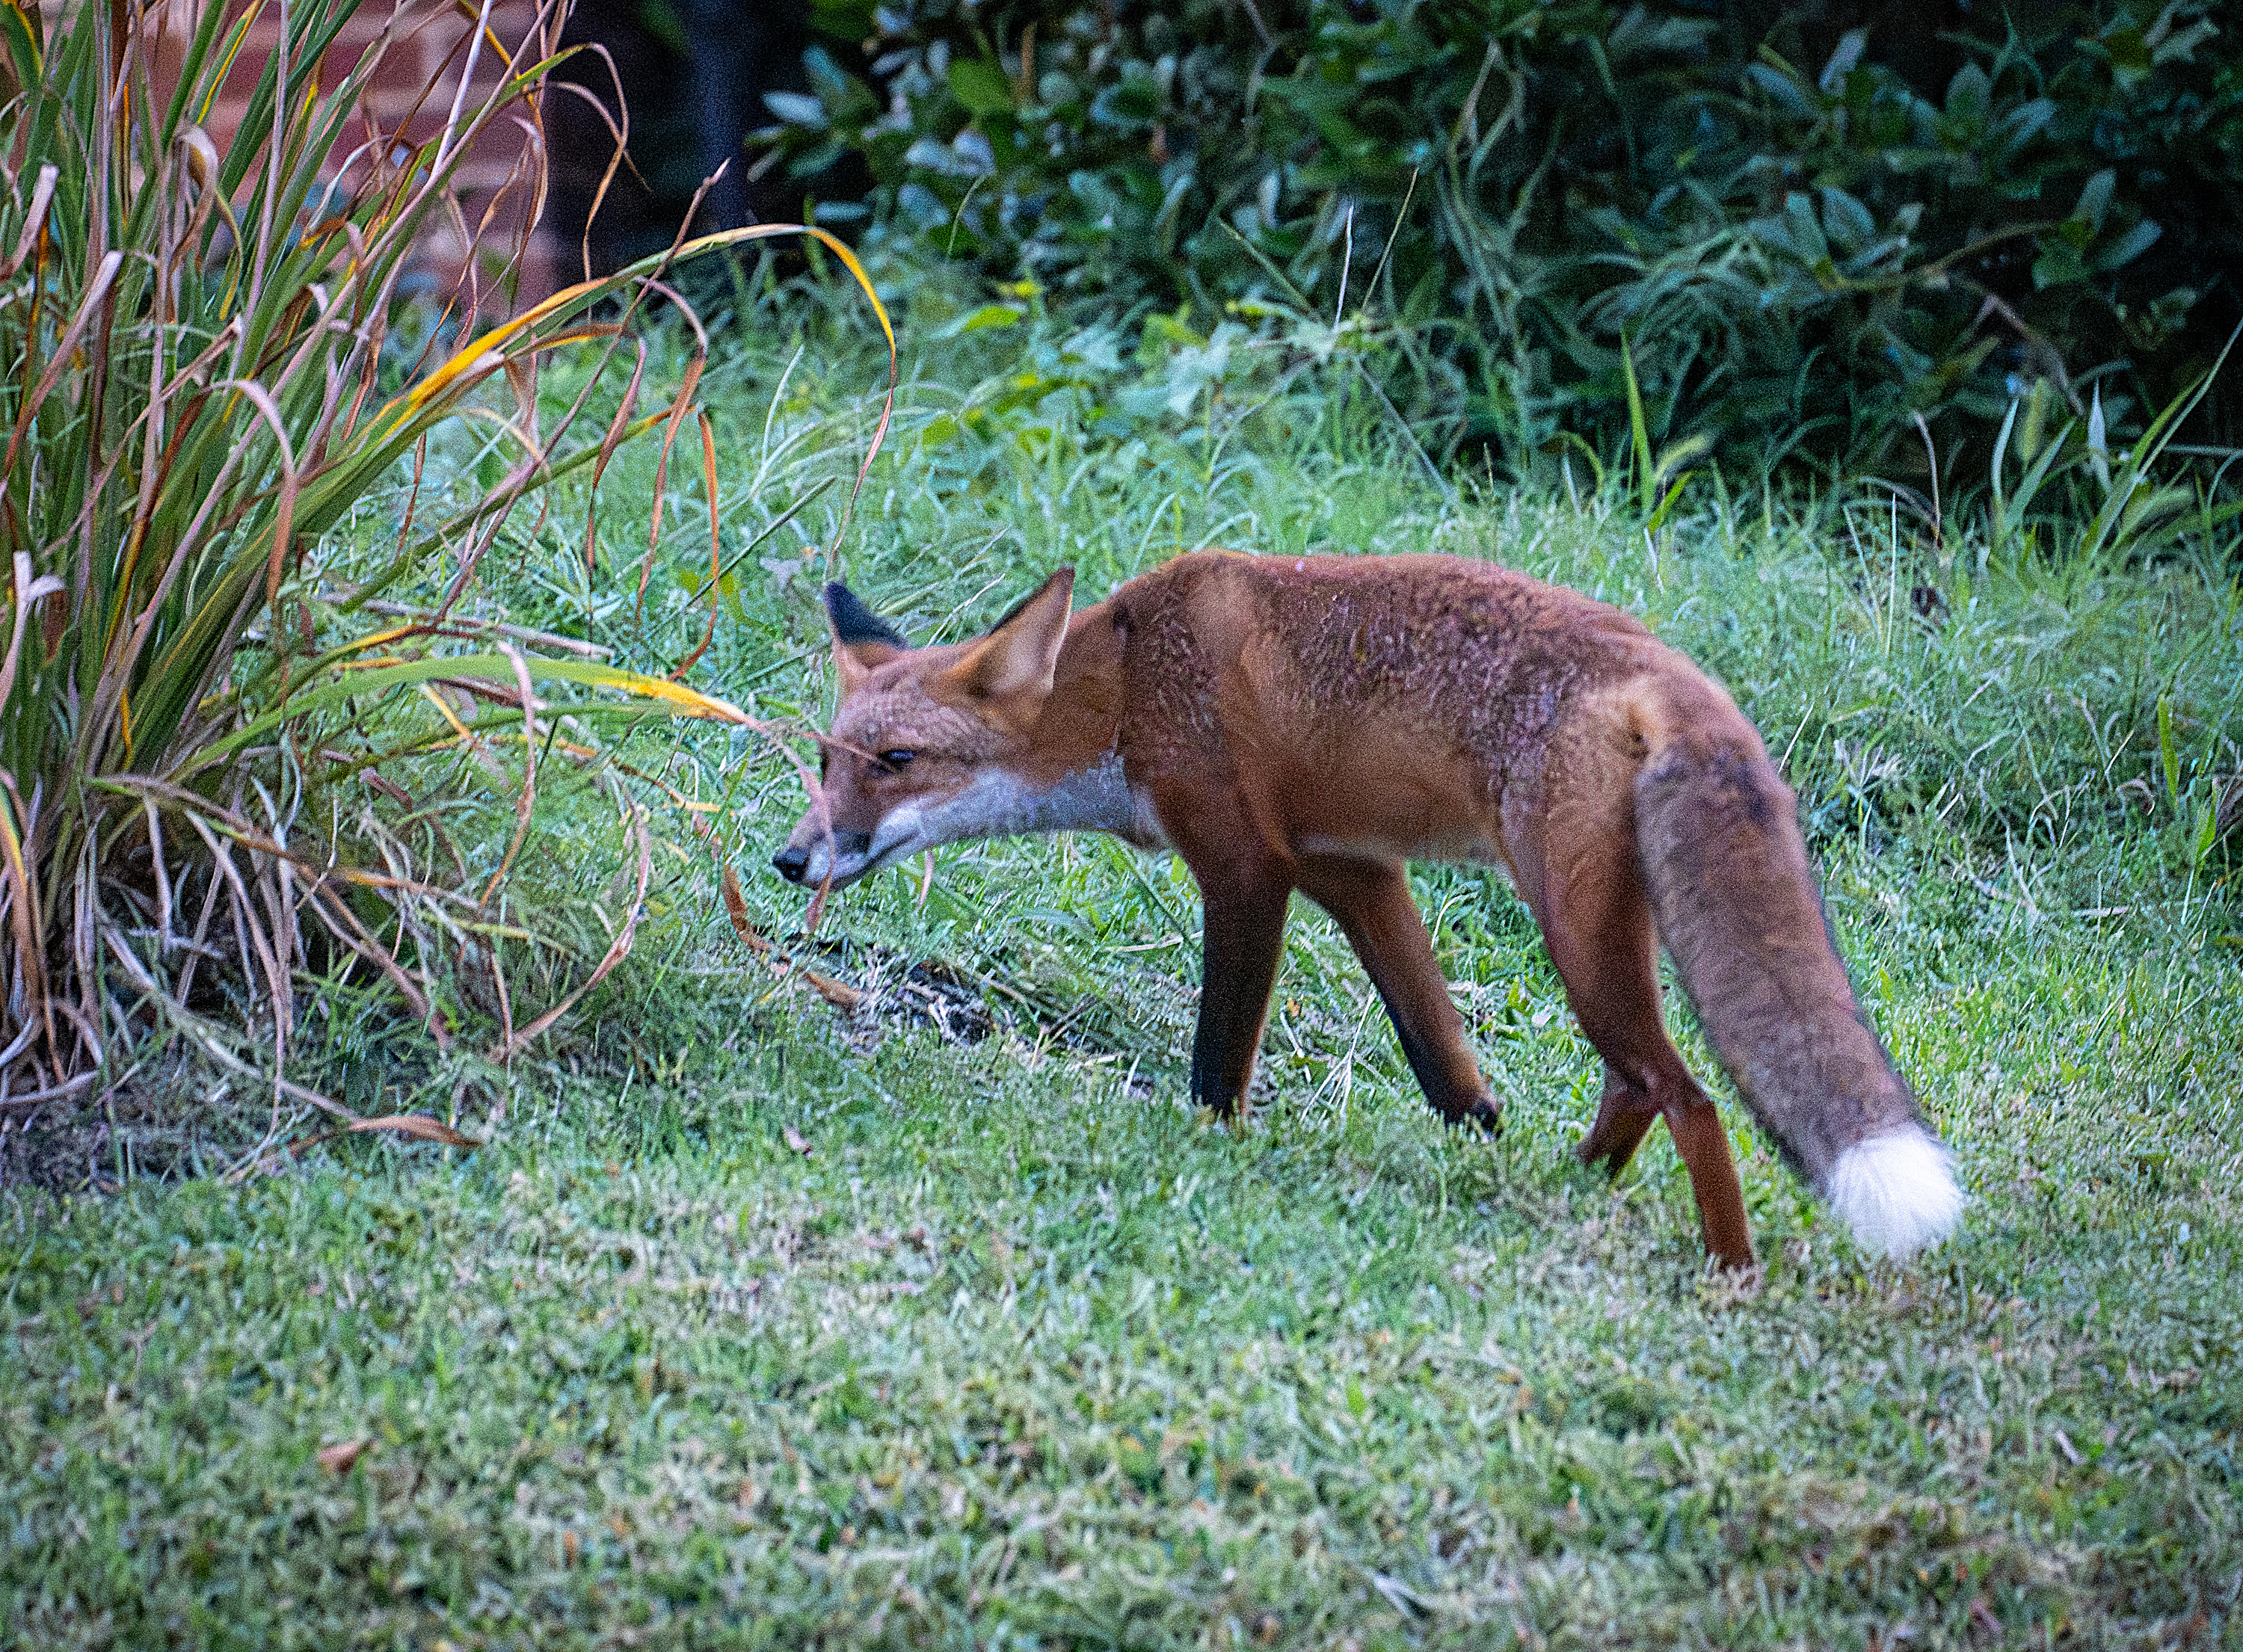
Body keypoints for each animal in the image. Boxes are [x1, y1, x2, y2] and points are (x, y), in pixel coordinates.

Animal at [771, 551, 1963, 1270]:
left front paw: (1207, 1153)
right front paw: (1479, 1148)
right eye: (826, 762)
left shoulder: (1246, 869)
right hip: (1594, 930)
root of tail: (1674, 670)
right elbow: (1446, 1067)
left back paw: (1729, 1269)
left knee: (1691, 1095)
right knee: (1637, 1083)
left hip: (1572, 931)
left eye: (895, 761)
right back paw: (1569, 1190)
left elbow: (1217, 1063)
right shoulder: (1353, 871)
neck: (1126, 685)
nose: (791, 858)